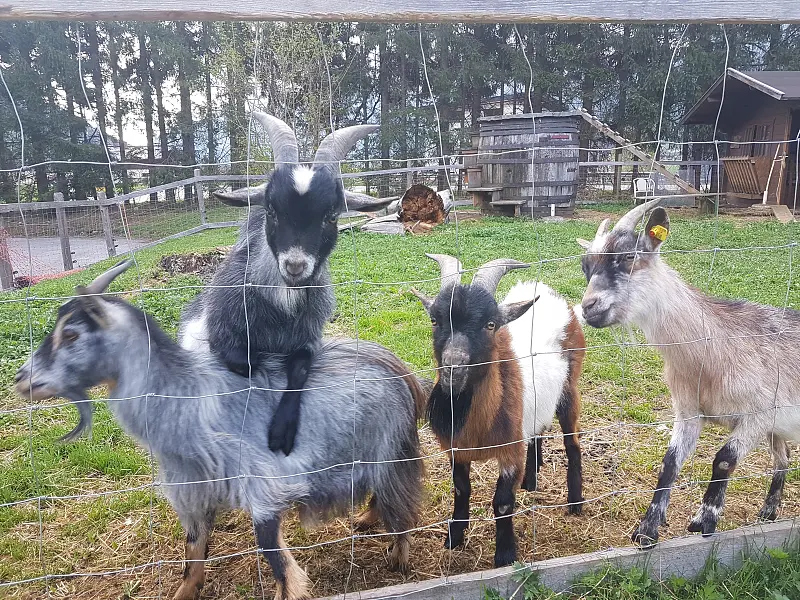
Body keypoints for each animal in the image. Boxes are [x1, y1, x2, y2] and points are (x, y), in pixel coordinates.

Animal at [15, 260, 423, 600]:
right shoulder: (193, 491)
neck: (190, 400)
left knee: (401, 500)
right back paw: (366, 520)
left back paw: (398, 556)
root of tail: (399, 366)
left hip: (391, 448)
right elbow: (193, 553)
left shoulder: (264, 486)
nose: (22, 380)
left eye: (71, 335)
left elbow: (278, 563)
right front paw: (184, 594)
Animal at [178, 113, 386, 456]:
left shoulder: (309, 338)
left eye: (331, 216)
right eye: (272, 210)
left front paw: (281, 431)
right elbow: (248, 362)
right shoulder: (220, 332)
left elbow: (300, 368)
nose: (295, 266)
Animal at [411, 254, 585, 567]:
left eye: (490, 325)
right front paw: (454, 538)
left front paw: (505, 555)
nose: (453, 369)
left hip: (569, 389)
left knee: (572, 442)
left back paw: (575, 502)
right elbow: (461, 489)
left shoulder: (510, 451)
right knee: (538, 430)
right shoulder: (457, 450)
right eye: (435, 320)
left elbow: (502, 502)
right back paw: (531, 480)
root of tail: (546, 291)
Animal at [577, 198, 800, 547]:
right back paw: (768, 511)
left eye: (629, 257)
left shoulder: (760, 414)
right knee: (783, 457)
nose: (589, 307)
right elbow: (670, 463)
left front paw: (704, 520)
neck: (710, 351)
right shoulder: (689, 411)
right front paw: (647, 530)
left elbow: (724, 458)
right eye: (585, 267)